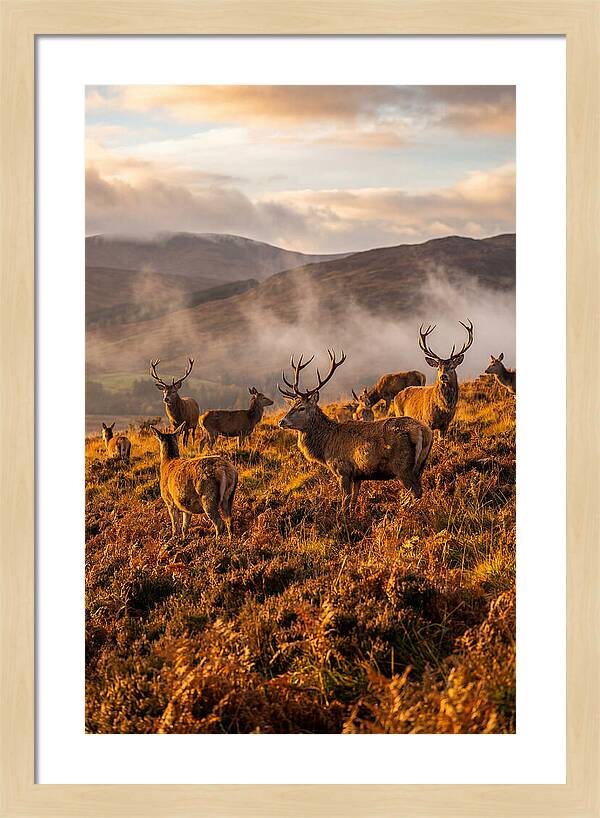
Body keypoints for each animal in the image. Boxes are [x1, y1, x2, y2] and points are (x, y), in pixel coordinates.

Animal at [278, 350, 434, 515]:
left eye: (301, 408)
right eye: (291, 406)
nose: (281, 421)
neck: (325, 446)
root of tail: (424, 431)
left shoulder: (342, 470)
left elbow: (345, 502)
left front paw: (342, 518)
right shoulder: (357, 475)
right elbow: (354, 500)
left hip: (403, 467)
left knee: (417, 491)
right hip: (421, 464)